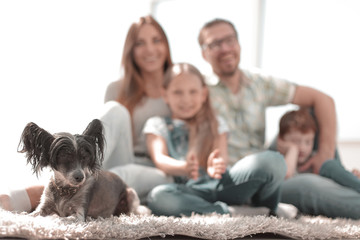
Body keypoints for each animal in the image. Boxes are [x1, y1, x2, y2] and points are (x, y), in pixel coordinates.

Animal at [17, 118, 150, 221]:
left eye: (84, 158)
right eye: (65, 157)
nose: (80, 177)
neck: (65, 190)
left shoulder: (79, 213)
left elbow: (65, 218)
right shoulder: (44, 206)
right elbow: (32, 214)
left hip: (130, 194)